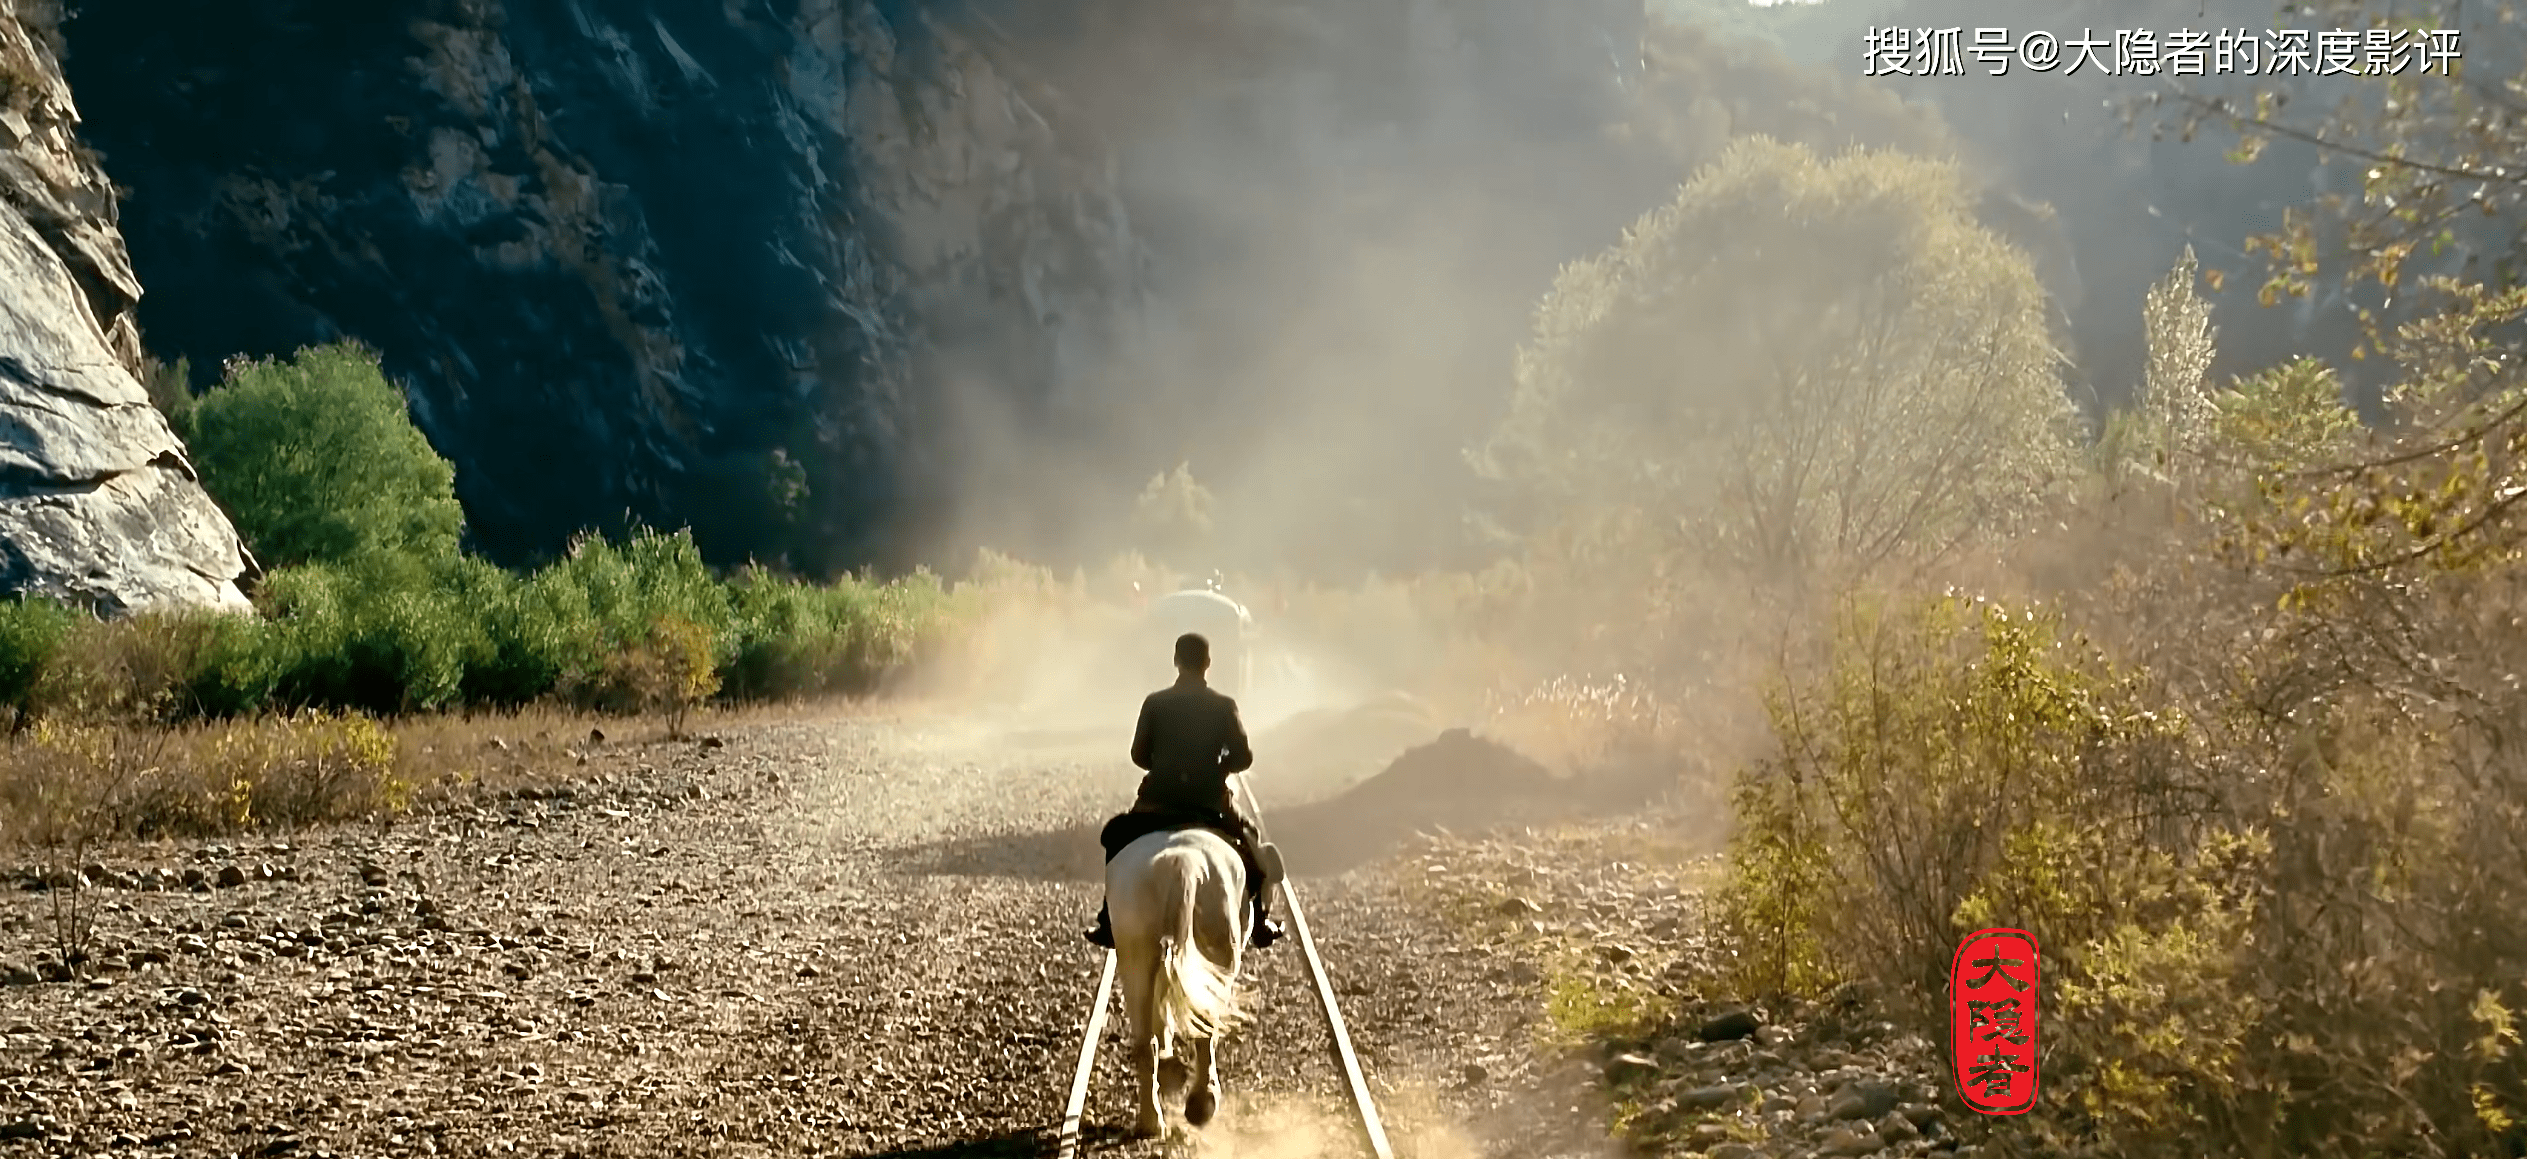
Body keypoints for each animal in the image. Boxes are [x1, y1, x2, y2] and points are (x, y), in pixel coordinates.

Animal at [1116, 828, 1253, 1141]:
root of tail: (1182, 862)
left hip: (1134, 962)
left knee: (1146, 1044)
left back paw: (1151, 1122)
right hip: (1221, 958)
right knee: (1205, 1031)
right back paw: (1203, 1103)